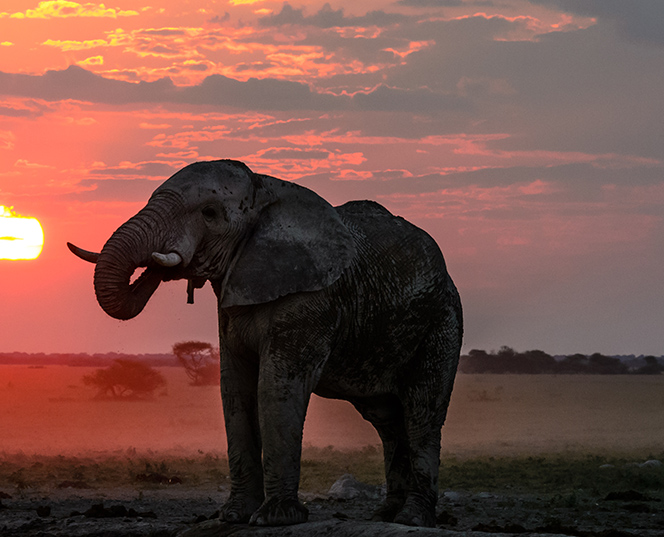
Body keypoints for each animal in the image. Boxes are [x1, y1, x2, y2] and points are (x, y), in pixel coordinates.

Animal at [68, 159, 463, 528]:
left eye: (209, 213)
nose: (159, 267)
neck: (265, 189)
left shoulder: (311, 299)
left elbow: (275, 388)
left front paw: (274, 518)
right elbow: (234, 389)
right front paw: (233, 516)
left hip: (442, 321)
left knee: (422, 411)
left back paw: (412, 519)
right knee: (387, 419)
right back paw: (386, 515)